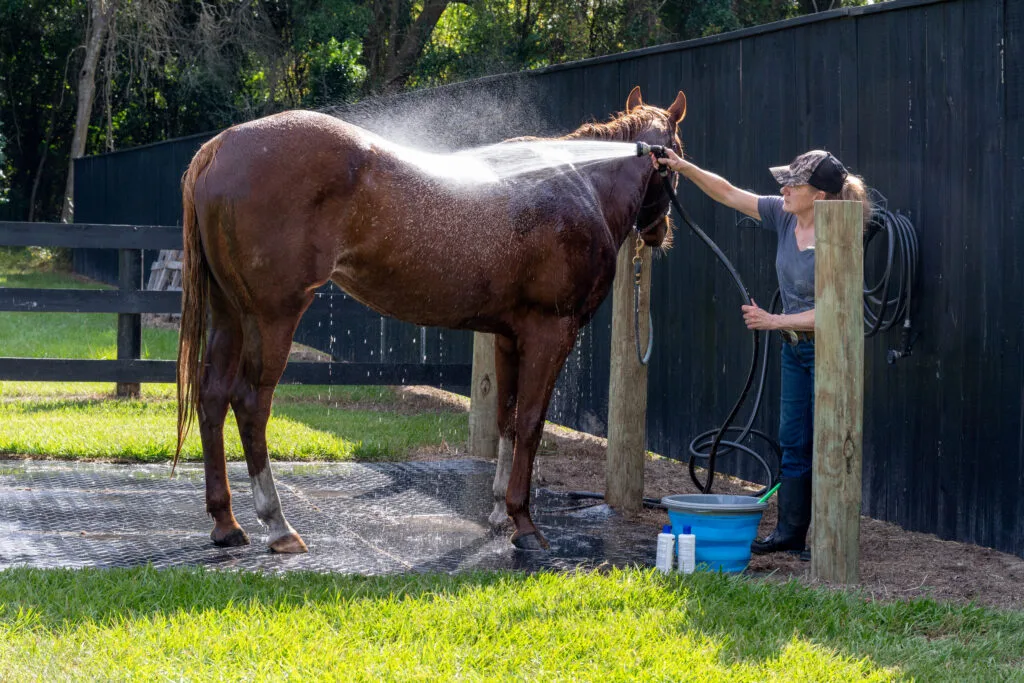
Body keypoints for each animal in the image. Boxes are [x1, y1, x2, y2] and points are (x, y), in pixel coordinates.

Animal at [176, 86, 686, 552]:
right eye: (678, 152)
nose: (660, 232)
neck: (581, 184)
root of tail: (221, 145)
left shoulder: (509, 337)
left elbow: (507, 419)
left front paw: (498, 512)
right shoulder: (549, 333)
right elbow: (531, 423)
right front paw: (523, 522)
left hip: (230, 315)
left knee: (213, 396)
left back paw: (226, 523)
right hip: (272, 317)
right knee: (250, 403)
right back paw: (278, 525)